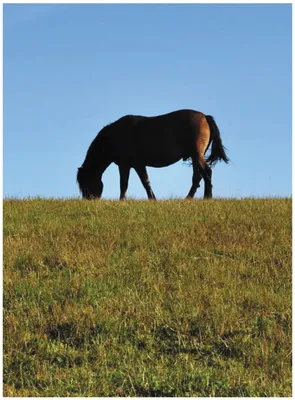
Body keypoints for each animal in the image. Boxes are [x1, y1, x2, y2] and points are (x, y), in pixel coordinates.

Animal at [76, 108, 229, 199]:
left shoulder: (125, 165)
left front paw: (122, 200)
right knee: (197, 177)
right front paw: (152, 199)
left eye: (85, 183)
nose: (89, 199)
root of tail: (205, 116)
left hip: (196, 155)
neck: (113, 136)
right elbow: (146, 182)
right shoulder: (138, 165)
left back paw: (207, 197)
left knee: (206, 172)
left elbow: (124, 183)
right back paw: (189, 198)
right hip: (195, 156)